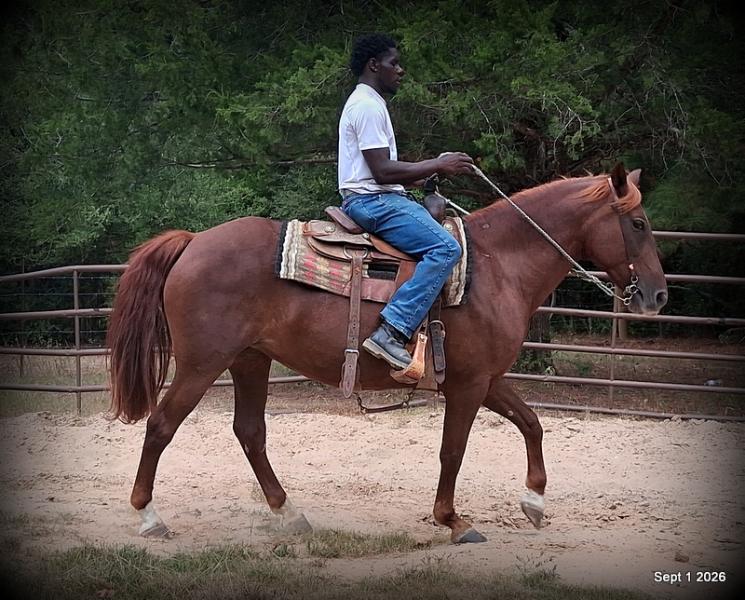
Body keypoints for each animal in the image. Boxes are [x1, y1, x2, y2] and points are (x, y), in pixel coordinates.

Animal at [106, 163, 667, 543]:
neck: (498, 263)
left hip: (250, 359)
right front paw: (453, 520)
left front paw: (534, 501)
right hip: (202, 363)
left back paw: (289, 513)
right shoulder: (467, 385)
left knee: (250, 432)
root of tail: (193, 241)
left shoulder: (485, 378)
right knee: (161, 426)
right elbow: (453, 450)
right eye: (638, 223)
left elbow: (531, 423)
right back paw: (149, 517)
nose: (658, 296)